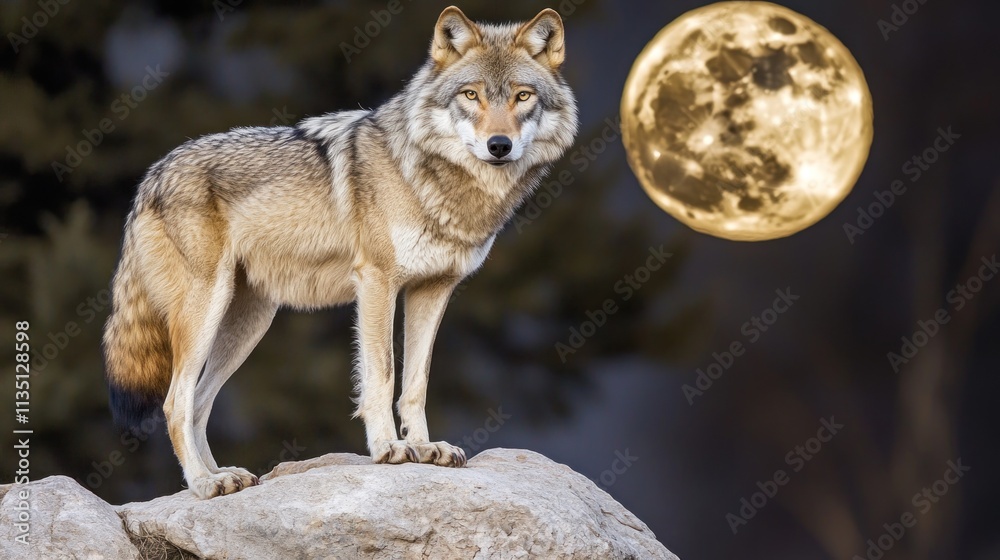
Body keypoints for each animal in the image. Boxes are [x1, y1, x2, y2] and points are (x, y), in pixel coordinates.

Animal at [102, 6, 578, 498]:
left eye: (522, 96)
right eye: (471, 95)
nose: (499, 145)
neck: (434, 181)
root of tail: (151, 176)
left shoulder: (433, 289)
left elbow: (416, 383)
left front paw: (426, 448)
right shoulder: (378, 282)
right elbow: (382, 374)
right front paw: (389, 448)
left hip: (249, 322)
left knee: (198, 402)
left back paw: (226, 476)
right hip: (206, 310)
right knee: (174, 402)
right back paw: (202, 483)